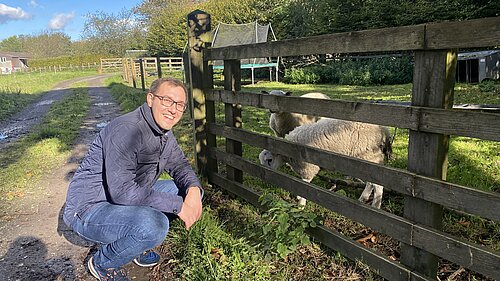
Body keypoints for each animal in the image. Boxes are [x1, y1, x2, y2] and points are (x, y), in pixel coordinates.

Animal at [260, 116, 392, 208]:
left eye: (270, 160)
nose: (265, 179)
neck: (286, 150)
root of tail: (383, 130)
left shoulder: (308, 167)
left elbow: (305, 182)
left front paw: (301, 204)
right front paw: (299, 197)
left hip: (369, 157)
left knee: (378, 185)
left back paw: (375, 206)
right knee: (371, 182)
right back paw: (363, 199)